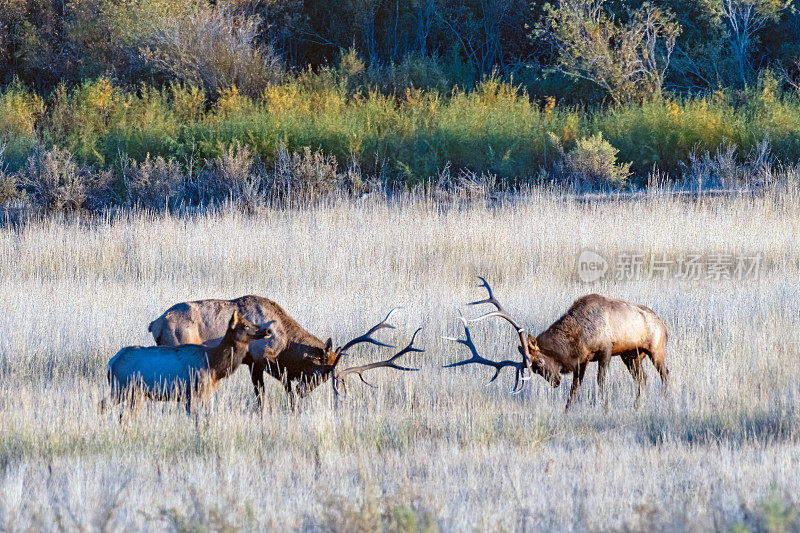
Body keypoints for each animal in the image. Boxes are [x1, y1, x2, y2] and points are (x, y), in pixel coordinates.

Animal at [100, 310, 272, 418]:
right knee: (104, 407)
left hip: (137, 394)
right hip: (122, 388)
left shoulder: (205, 394)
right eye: (245, 325)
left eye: (250, 321)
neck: (214, 366)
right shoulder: (191, 393)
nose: (267, 330)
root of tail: (111, 363)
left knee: (123, 416)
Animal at [151, 296, 424, 408]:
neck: (285, 342)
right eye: (321, 371)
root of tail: (155, 323)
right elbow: (265, 395)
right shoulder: (258, 361)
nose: (305, 392)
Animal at [444, 276, 668, 410]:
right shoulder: (583, 360)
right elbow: (575, 387)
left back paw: (666, 398)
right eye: (534, 369)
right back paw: (638, 405)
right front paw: (567, 411)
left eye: (539, 362)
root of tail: (663, 324)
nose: (555, 382)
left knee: (664, 373)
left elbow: (600, 382)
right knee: (643, 378)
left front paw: (604, 407)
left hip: (656, 350)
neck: (578, 336)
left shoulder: (606, 350)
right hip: (631, 355)